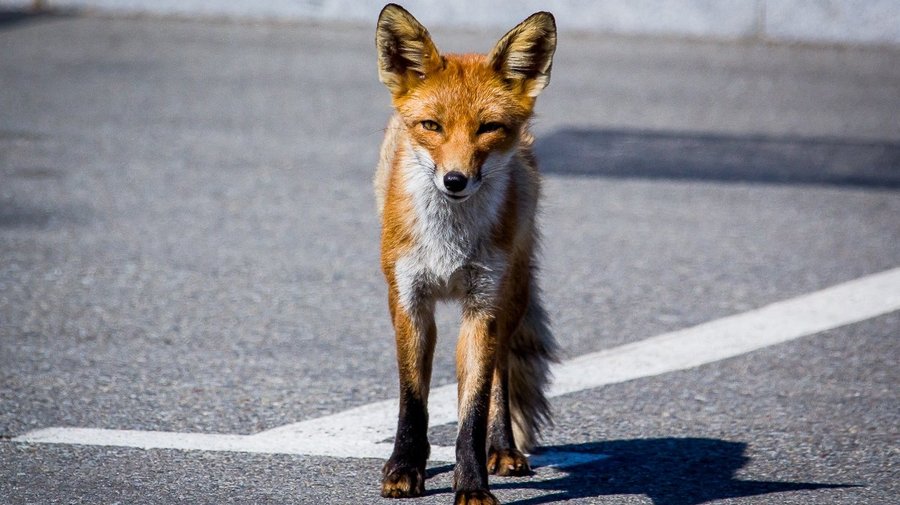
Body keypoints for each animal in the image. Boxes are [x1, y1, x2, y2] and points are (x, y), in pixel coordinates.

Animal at [374, 4, 558, 504]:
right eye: (432, 126)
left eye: (488, 128)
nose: (454, 181)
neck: (448, 245)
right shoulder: (409, 300)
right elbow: (412, 399)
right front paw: (405, 468)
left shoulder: (483, 306)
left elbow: (472, 410)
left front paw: (472, 484)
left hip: (511, 295)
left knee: (499, 376)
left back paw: (504, 449)